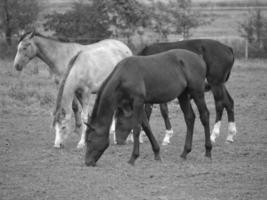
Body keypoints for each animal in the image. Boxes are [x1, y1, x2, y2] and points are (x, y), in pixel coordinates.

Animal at [85, 49, 213, 166]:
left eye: (89, 140)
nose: (87, 162)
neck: (124, 75)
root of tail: (199, 58)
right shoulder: (137, 104)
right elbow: (146, 126)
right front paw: (157, 154)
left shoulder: (137, 102)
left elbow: (137, 128)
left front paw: (133, 157)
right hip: (183, 95)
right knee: (189, 118)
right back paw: (185, 152)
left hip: (197, 93)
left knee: (204, 116)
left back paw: (208, 151)